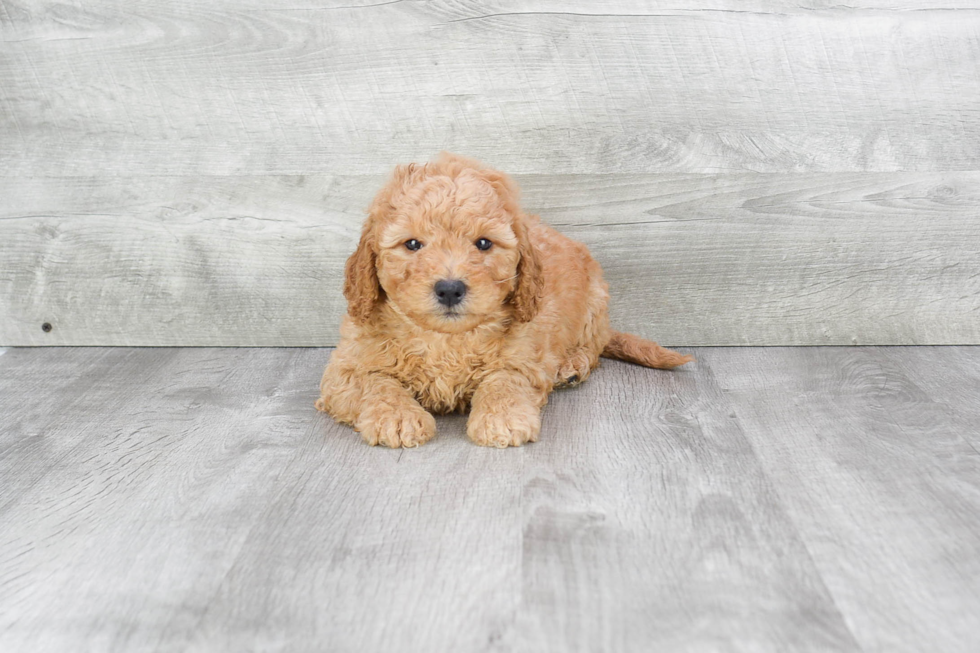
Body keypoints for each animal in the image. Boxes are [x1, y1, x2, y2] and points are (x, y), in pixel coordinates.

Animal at [318, 153, 692, 448]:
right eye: (412, 244)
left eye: (483, 244)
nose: (450, 288)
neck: (445, 339)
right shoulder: (345, 369)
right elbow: (375, 382)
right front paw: (397, 417)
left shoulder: (525, 356)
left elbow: (503, 380)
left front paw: (502, 418)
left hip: (594, 303)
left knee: (593, 347)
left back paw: (571, 366)